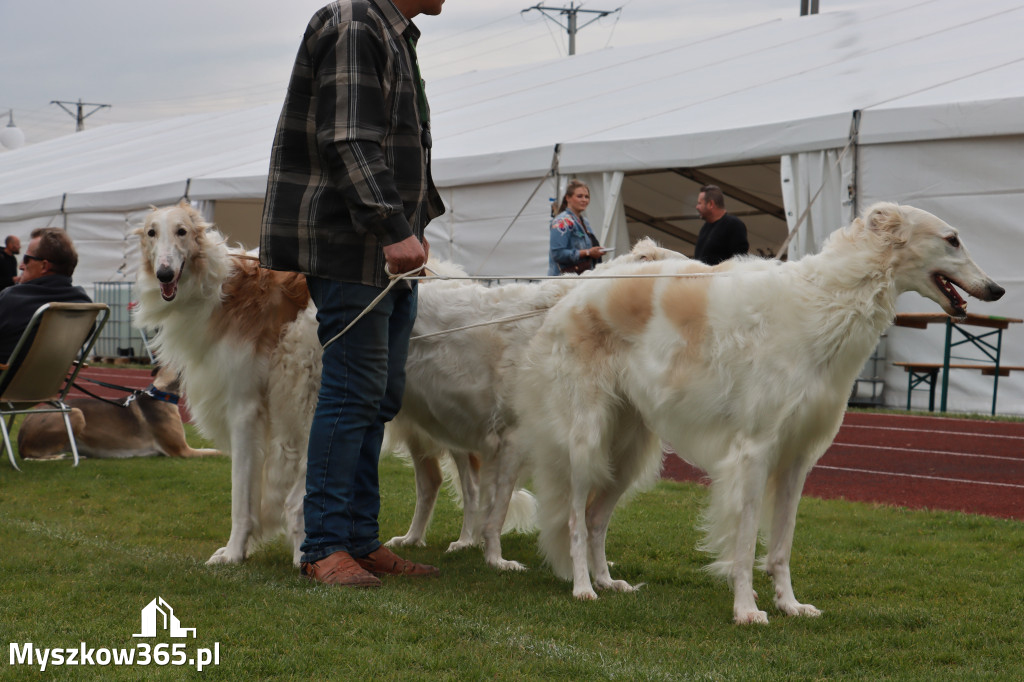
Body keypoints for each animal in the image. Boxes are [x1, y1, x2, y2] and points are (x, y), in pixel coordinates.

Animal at [134, 200, 319, 561]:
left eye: (182, 231)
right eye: (151, 232)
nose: (164, 274)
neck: (219, 293)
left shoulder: (244, 408)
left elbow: (242, 497)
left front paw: (234, 552)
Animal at [512, 202, 999, 622]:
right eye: (952, 239)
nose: (998, 289)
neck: (825, 304)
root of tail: (573, 293)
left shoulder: (798, 456)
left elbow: (781, 544)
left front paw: (790, 604)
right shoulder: (754, 450)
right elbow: (746, 543)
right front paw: (747, 609)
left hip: (628, 451)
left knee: (595, 518)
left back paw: (608, 581)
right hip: (587, 439)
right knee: (575, 517)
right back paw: (582, 587)